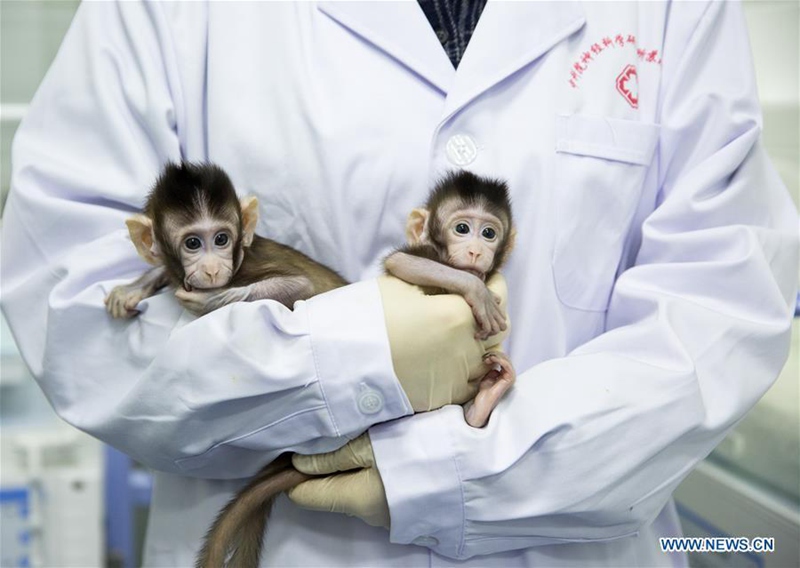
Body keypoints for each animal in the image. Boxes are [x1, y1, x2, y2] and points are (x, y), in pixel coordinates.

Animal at [104, 161, 347, 319]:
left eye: (221, 239)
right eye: (192, 243)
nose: (212, 270)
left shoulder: (250, 264)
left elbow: (302, 284)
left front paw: (212, 299)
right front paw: (132, 289)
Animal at [195, 170, 517, 568]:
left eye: (488, 232)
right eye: (461, 228)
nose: (474, 251)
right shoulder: (425, 255)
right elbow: (404, 263)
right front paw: (474, 288)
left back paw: (483, 402)